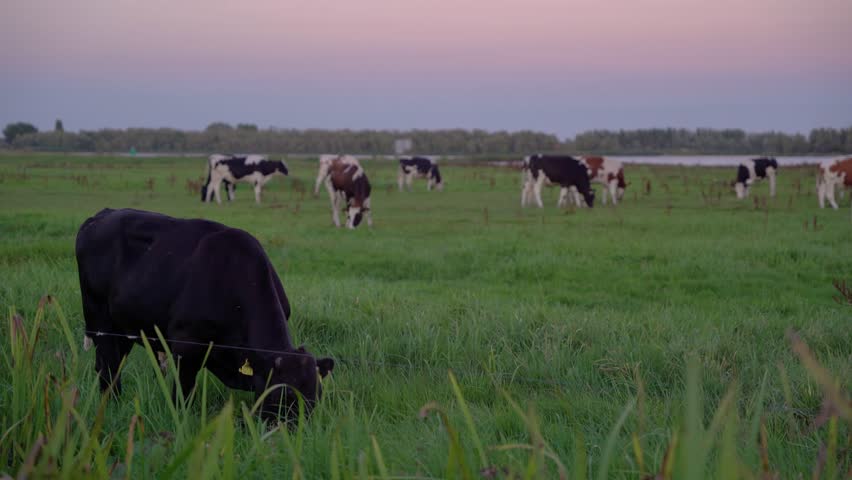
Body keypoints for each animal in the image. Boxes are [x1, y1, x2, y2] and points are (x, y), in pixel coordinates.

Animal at [76, 208, 334, 422]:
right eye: (284, 395)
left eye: (316, 395)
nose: (299, 431)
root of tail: (101, 215)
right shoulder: (185, 348)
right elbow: (183, 393)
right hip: (100, 319)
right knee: (108, 366)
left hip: (123, 327)